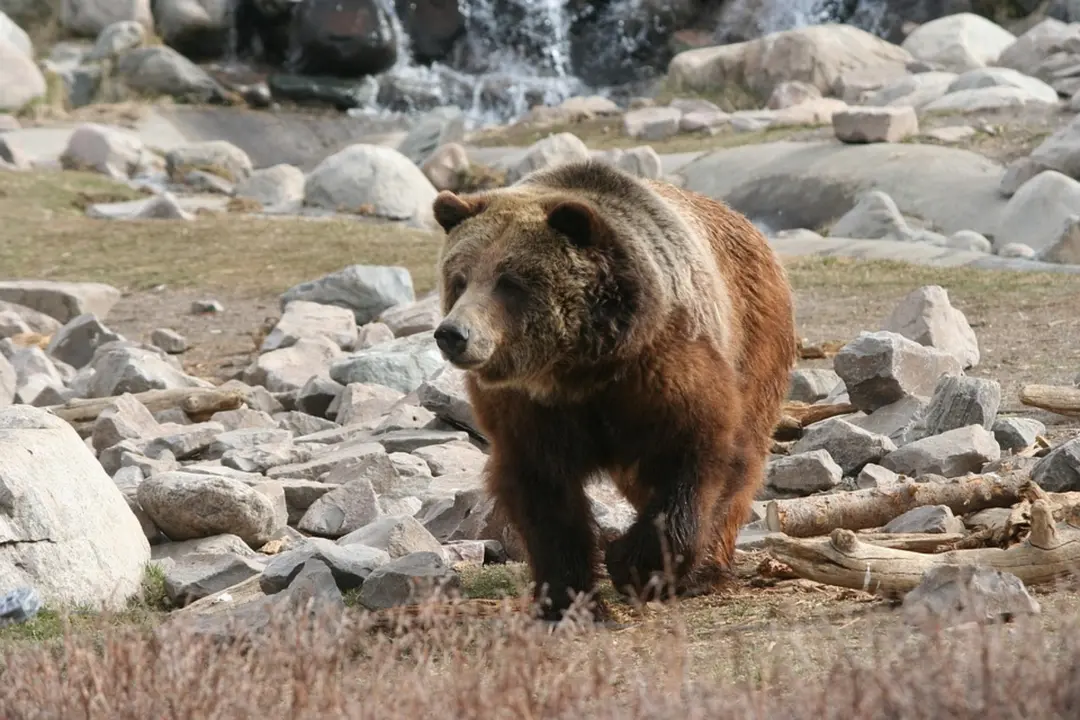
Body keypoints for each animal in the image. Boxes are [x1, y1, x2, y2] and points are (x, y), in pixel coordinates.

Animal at [430, 159, 797, 622]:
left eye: (509, 282)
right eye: (459, 280)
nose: (452, 334)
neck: (580, 369)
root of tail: (747, 225)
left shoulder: (662, 370)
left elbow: (698, 455)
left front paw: (635, 564)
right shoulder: (528, 411)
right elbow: (543, 495)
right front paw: (569, 598)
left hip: (754, 335)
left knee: (743, 454)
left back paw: (707, 568)